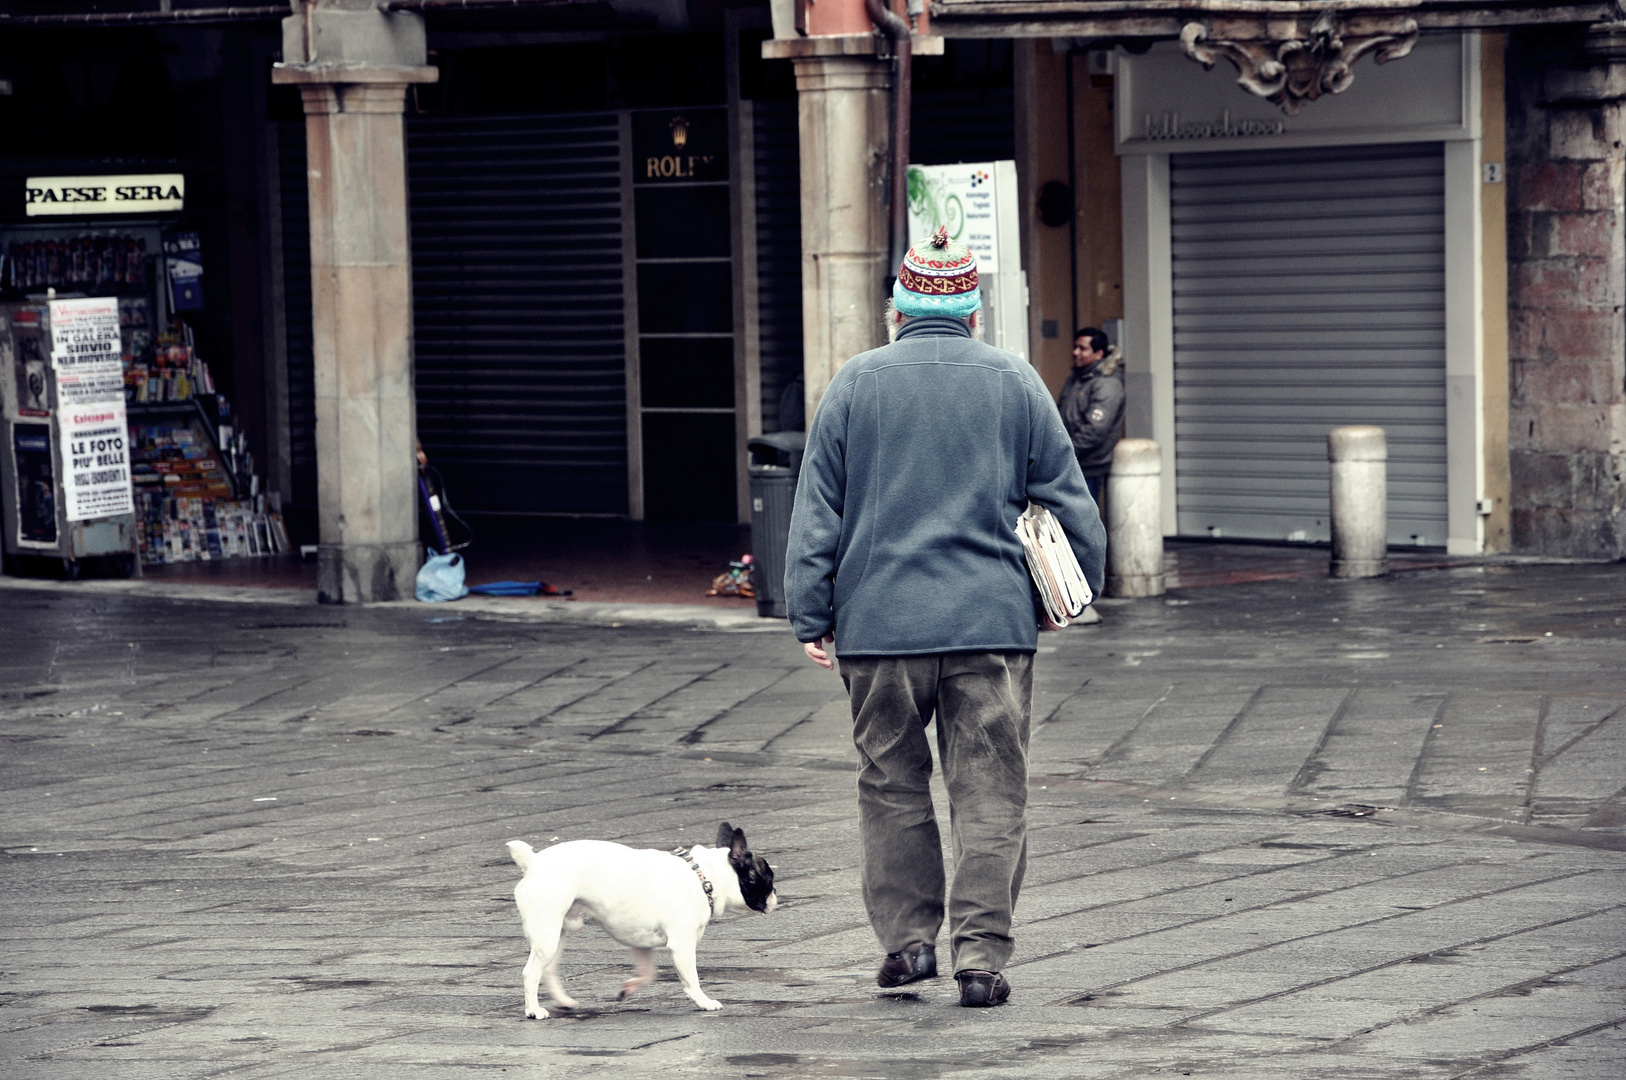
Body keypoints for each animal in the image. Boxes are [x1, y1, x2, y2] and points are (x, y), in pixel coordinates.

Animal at [510, 823, 783, 1014]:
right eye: (768, 878)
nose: (776, 896)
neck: (704, 877)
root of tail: (533, 862)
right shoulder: (682, 945)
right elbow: (691, 978)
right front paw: (703, 1001)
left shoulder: (640, 943)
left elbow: (648, 973)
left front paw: (627, 989)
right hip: (546, 935)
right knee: (530, 973)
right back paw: (533, 1011)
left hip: (557, 934)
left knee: (548, 971)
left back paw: (563, 1001)